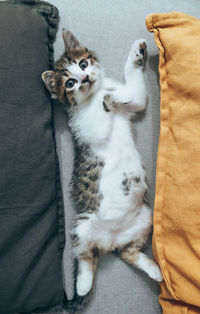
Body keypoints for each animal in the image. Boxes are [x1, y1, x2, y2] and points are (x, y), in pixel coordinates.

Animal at [41, 28, 162, 312]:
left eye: (83, 64)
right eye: (70, 83)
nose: (85, 78)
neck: (94, 94)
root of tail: (110, 241)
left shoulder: (135, 101)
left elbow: (135, 95)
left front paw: (136, 54)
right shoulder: (87, 127)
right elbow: (104, 108)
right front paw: (111, 98)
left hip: (145, 217)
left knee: (128, 253)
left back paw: (154, 270)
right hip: (82, 223)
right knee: (84, 256)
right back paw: (82, 285)